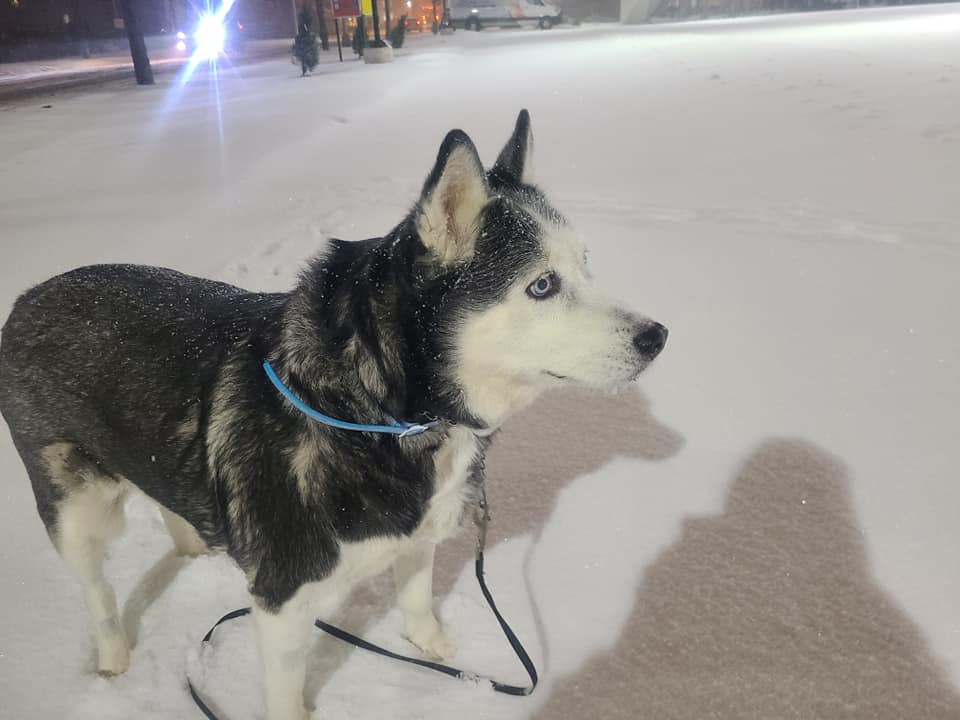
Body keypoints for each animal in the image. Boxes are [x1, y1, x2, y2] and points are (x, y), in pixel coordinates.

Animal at [0, 111, 668, 720]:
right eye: (542, 285)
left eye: (586, 264)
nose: (657, 336)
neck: (376, 412)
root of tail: (29, 295)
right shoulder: (281, 602)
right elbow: (285, 696)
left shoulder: (417, 536)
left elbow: (418, 604)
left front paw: (435, 653)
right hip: (75, 511)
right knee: (96, 591)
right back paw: (113, 657)